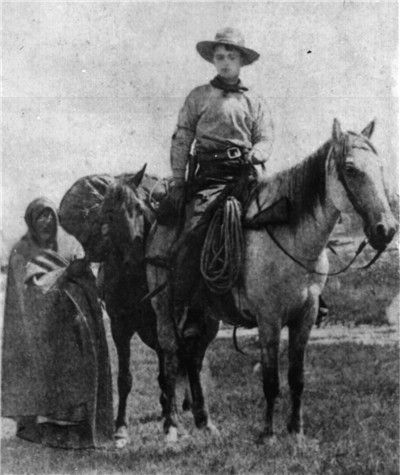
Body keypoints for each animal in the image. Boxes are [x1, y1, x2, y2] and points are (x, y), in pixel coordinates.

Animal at [99, 166, 219, 446]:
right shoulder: (120, 326)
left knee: (188, 364)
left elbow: (171, 371)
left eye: (139, 207)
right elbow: (125, 378)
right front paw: (121, 428)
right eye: (109, 212)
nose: (134, 258)